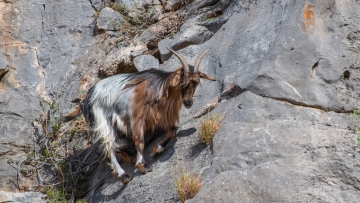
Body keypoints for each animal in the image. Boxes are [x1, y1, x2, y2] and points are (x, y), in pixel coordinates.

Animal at [64, 48, 215, 184]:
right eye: (183, 82)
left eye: (196, 82)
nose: (189, 102)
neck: (159, 88)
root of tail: (87, 97)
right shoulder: (136, 116)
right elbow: (140, 141)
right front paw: (141, 166)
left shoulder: (164, 115)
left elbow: (173, 130)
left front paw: (156, 149)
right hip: (102, 118)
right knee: (109, 146)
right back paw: (123, 174)